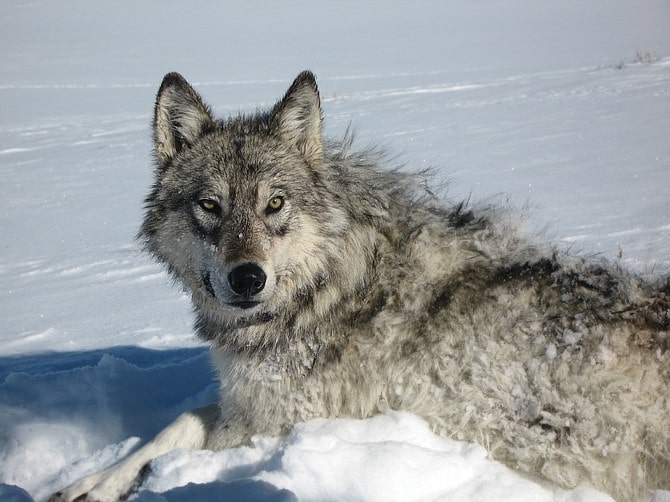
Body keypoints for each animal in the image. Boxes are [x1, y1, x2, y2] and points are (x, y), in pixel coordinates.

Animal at [53, 70, 670, 502]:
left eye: (275, 204)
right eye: (210, 206)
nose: (248, 277)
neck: (324, 287)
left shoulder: (276, 423)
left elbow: (186, 426)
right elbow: (178, 424)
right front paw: (91, 483)